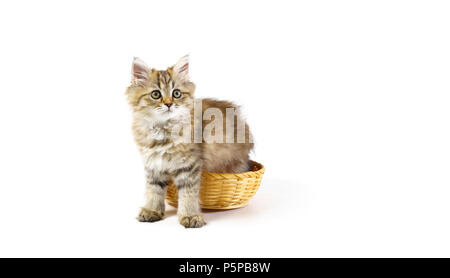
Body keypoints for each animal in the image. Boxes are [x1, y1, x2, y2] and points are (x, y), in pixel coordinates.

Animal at [125, 55, 253, 227]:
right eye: (156, 94)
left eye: (176, 93)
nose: (169, 104)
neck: (163, 130)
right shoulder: (153, 164)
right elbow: (153, 190)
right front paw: (152, 211)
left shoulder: (189, 165)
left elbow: (188, 194)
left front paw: (190, 216)